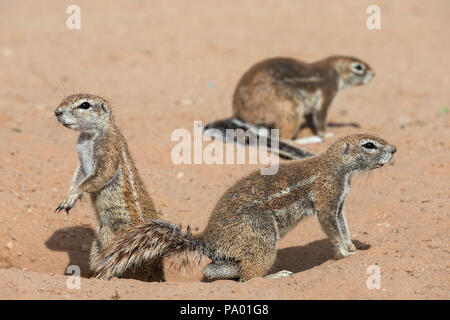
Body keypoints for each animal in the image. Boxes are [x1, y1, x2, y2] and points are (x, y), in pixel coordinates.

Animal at [53, 94, 164, 282]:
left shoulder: (108, 149)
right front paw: (69, 196)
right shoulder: (81, 161)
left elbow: (99, 176)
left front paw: (73, 195)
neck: (90, 135)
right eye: (65, 98)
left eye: (85, 105)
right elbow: (78, 177)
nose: (57, 112)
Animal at [93, 134, 396, 282]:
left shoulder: (339, 203)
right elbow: (331, 228)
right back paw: (274, 276)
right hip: (261, 234)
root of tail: (207, 240)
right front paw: (345, 253)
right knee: (250, 278)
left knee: (214, 271)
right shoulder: (327, 198)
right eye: (369, 145)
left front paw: (352, 247)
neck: (335, 166)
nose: (394, 150)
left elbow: (343, 226)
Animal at [206, 55, 374, 150]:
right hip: (290, 110)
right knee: (284, 138)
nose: (373, 74)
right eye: (358, 67)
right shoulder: (327, 92)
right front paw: (327, 133)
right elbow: (321, 117)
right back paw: (308, 140)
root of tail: (240, 116)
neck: (334, 70)